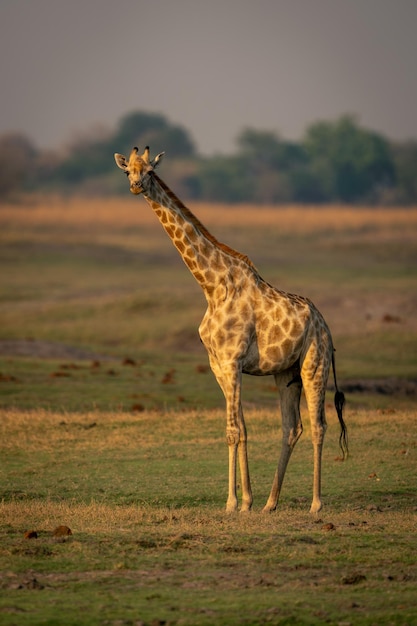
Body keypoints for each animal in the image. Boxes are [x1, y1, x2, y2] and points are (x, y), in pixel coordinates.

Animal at [114, 145, 348, 512]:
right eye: (128, 171)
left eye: (150, 171)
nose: (136, 186)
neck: (211, 287)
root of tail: (325, 325)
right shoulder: (218, 364)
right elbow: (239, 428)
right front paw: (247, 500)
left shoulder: (233, 360)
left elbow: (234, 430)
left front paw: (232, 503)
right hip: (286, 372)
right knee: (291, 427)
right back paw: (271, 503)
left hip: (315, 364)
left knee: (318, 426)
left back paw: (315, 504)